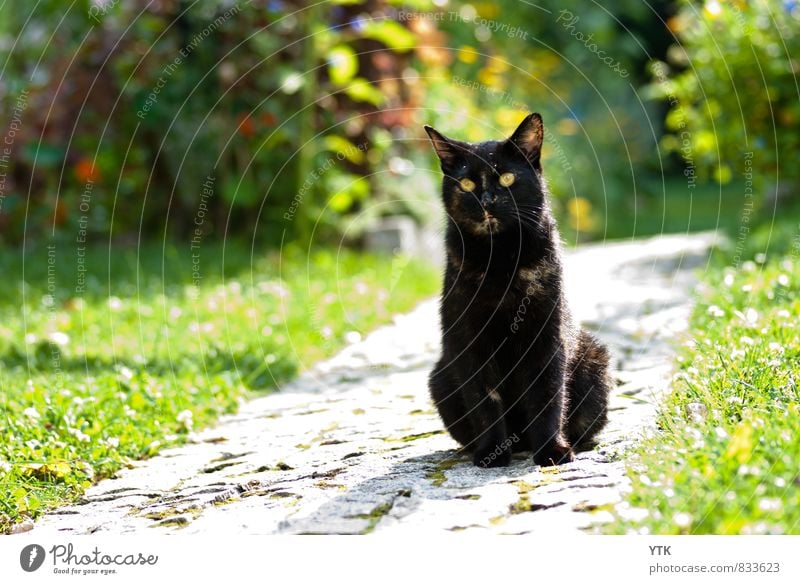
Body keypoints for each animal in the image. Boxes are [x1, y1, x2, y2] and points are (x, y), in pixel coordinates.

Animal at [424, 115, 612, 470]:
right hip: (441, 377)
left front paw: (552, 450)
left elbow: (547, 397)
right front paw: (492, 452)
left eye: (508, 178)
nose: (487, 201)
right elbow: (484, 402)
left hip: (595, 363)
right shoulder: (469, 343)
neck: (502, 261)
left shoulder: (546, 339)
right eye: (466, 184)